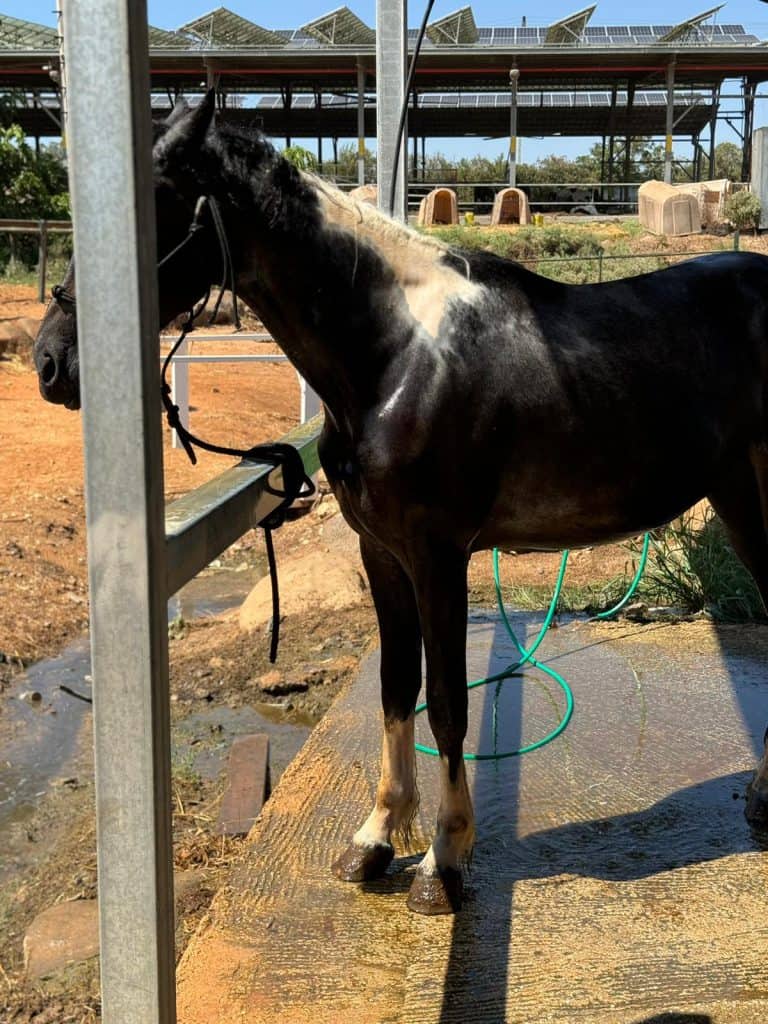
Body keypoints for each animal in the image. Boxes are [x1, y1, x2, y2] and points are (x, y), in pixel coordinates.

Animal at [34, 92, 768, 917]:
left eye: (152, 203)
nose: (51, 363)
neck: (396, 357)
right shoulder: (381, 553)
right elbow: (395, 689)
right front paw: (377, 838)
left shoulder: (438, 557)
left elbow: (446, 701)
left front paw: (443, 862)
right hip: (738, 497)